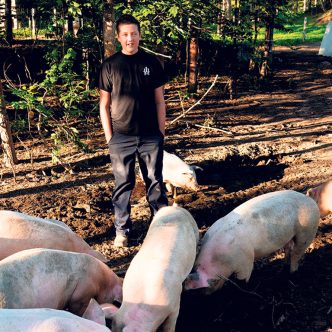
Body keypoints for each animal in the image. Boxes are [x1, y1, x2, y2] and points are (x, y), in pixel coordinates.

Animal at [184, 188, 320, 294]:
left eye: (212, 282)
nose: (206, 295)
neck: (219, 258)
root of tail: (309, 199)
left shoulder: (246, 261)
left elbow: (243, 279)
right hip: (290, 235)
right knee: (288, 248)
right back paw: (283, 266)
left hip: (308, 230)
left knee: (297, 253)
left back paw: (292, 273)